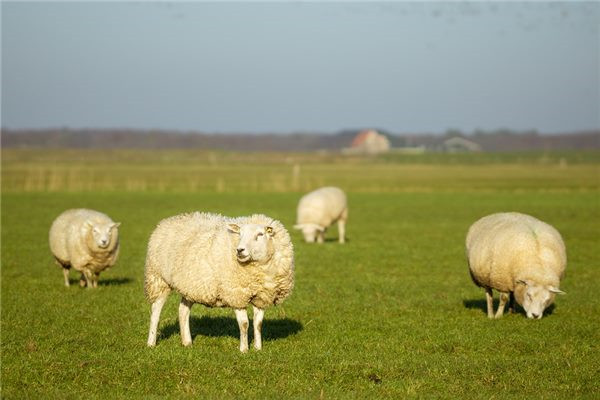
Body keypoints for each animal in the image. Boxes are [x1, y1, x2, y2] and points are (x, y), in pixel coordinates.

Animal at [145, 211, 296, 352]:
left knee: (183, 310)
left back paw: (187, 342)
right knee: (155, 312)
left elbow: (258, 324)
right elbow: (244, 324)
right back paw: (151, 342)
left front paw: (258, 348)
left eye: (260, 234)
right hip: (158, 278)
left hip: (191, 285)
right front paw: (244, 350)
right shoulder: (236, 294)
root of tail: (168, 220)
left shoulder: (262, 297)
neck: (260, 269)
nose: (239, 250)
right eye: (240, 234)